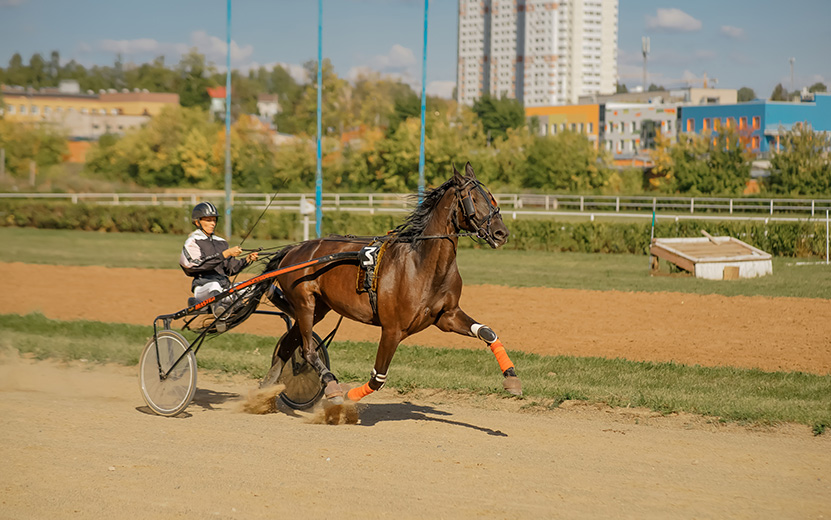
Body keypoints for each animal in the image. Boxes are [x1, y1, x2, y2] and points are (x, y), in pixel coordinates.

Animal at [264, 162, 520, 402]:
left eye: (492, 198)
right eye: (473, 199)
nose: (501, 233)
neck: (422, 265)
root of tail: (293, 249)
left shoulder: (447, 316)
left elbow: (487, 332)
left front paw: (512, 378)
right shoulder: (392, 329)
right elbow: (378, 378)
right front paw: (348, 397)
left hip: (319, 308)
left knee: (288, 346)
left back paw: (265, 391)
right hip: (305, 303)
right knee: (307, 349)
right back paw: (331, 385)